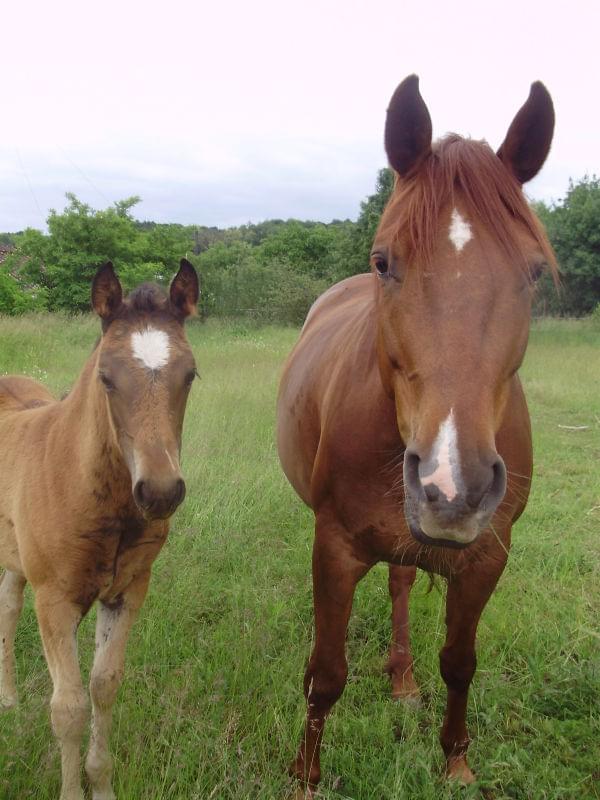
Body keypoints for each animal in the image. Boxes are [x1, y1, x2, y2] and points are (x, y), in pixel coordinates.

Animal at [0, 259, 199, 800]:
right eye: (106, 378)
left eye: (190, 375)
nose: (160, 492)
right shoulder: (55, 601)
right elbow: (67, 708)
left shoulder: (127, 591)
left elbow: (104, 684)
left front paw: (101, 783)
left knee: (7, 605)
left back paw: (8, 701)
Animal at [277, 75, 557, 794]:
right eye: (384, 261)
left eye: (533, 272)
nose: (452, 488)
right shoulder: (335, 548)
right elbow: (325, 674)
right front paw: (306, 777)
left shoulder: (487, 555)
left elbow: (460, 661)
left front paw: (456, 762)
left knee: (403, 583)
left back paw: (403, 679)